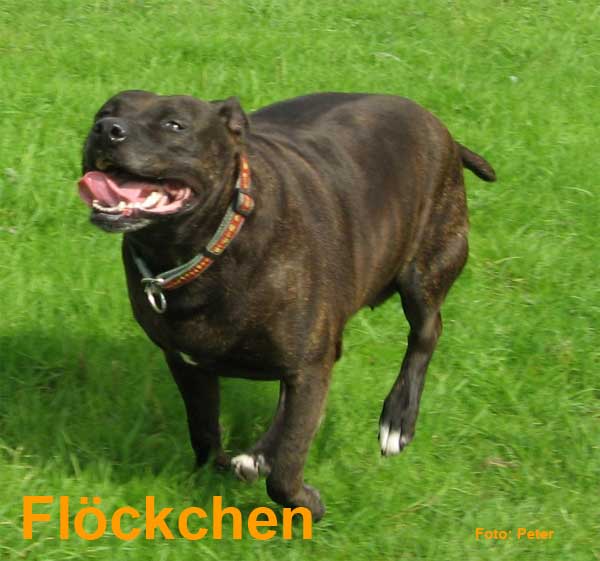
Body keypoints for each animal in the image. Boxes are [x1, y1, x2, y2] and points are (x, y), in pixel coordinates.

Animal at [78, 90, 495, 520]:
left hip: (427, 269)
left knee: (426, 334)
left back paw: (397, 420)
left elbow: (287, 468)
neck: (211, 243)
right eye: (104, 112)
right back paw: (258, 455)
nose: (107, 130)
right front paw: (220, 471)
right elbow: (205, 431)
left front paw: (308, 505)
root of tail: (442, 131)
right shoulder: (187, 363)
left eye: (174, 125)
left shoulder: (310, 367)